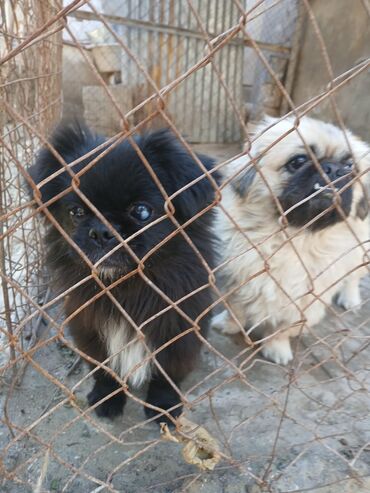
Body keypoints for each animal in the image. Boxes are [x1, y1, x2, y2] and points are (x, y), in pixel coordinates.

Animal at [30, 123, 218, 422]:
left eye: (141, 211)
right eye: (76, 212)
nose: (101, 232)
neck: (125, 288)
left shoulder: (178, 334)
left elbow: (167, 376)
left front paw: (164, 406)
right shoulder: (89, 331)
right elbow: (105, 371)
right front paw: (107, 398)